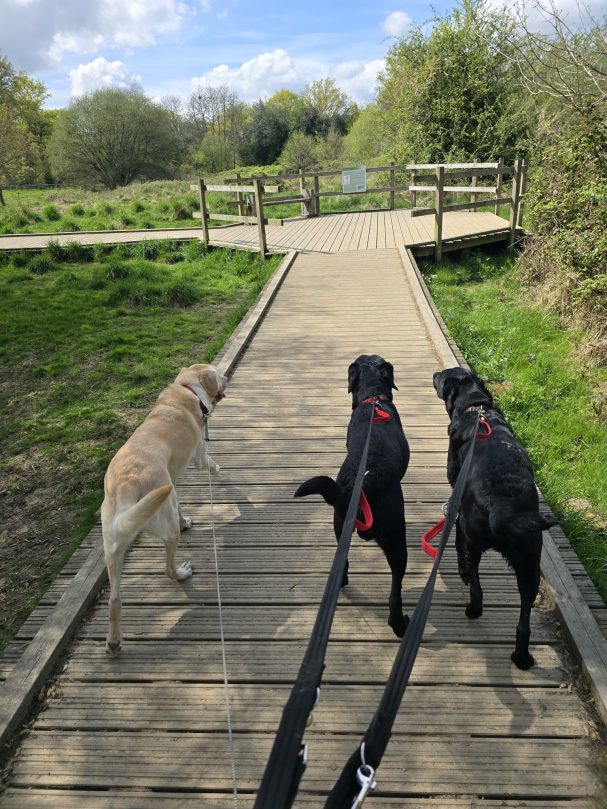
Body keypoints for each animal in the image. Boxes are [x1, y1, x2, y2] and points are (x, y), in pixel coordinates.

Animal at [101, 363, 227, 656]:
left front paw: (186, 520)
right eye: (218, 373)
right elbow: (212, 465)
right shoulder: (200, 457)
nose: (227, 377)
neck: (186, 388)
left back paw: (114, 641)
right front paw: (222, 473)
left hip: (113, 546)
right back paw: (182, 573)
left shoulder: (174, 486)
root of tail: (126, 483)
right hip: (165, 529)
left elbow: (179, 504)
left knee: (114, 599)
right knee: (167, 569)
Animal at [295, 355, 410, 637]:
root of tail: (364, 484)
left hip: (339, 525)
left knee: (343, 563)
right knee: (395, 591)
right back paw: (400, 623)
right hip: (397, 541)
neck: (373, 398)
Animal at [433, 367, 557, 669]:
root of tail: (503, 505)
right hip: (529, 563)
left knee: (476, 584)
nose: (434, 374)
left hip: (475, 540)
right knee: (523, 624)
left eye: (442, 376)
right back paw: (521, 657)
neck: (477, 411)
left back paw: (473, 608)